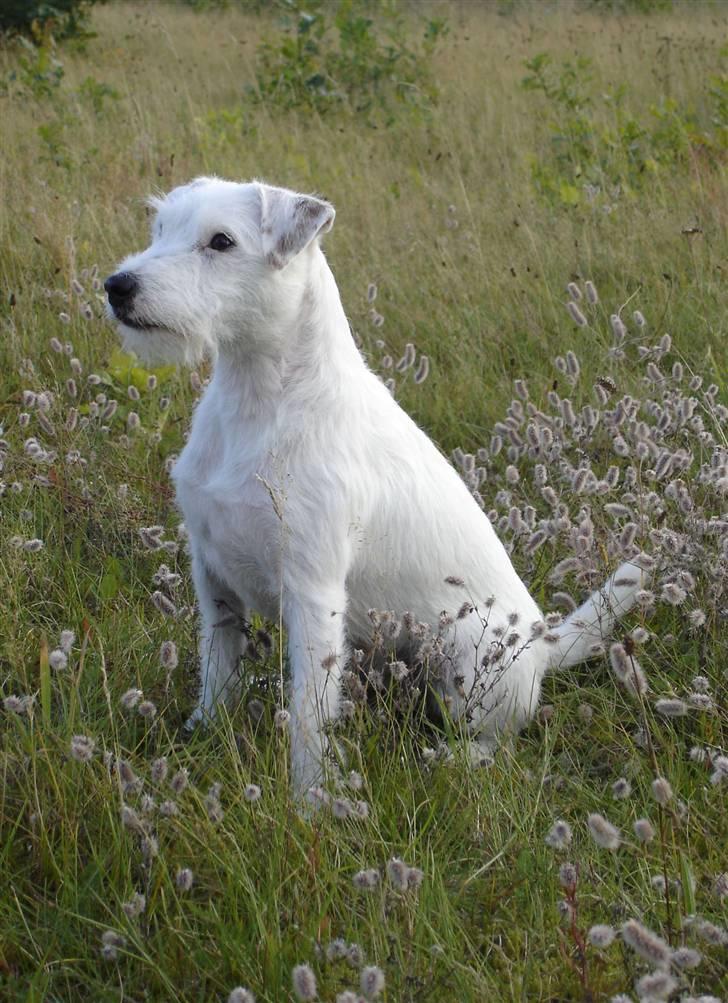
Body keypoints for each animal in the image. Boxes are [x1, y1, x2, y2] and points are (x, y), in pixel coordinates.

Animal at [106, 178, 645, 790]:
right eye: (160, 229)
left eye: (221, 241)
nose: (117, 287)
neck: (259, 401)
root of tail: (540, 644)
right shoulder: (214, 578)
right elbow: (217, 671)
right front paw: (201, 733)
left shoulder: (313, 591)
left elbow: (311, 715)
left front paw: (308, 798)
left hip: (467, 671)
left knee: (494, 744)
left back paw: (447, 758)